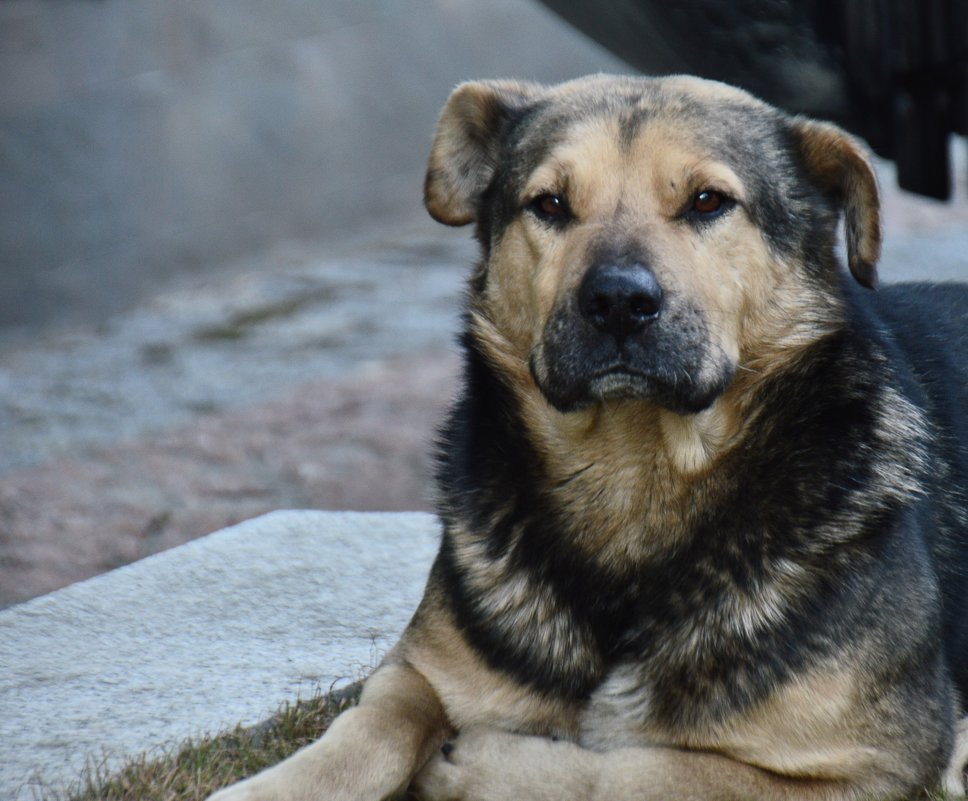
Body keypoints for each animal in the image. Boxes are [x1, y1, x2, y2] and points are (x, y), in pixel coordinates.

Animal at [210, 76, 968, 800]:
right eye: (549, 205)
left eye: (707, 202)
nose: (617, 303)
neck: (631, 469)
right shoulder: (417, 667)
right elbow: (372, 722)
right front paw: (276, 785)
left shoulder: (876, 761)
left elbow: (649, 773)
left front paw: (484, 762)